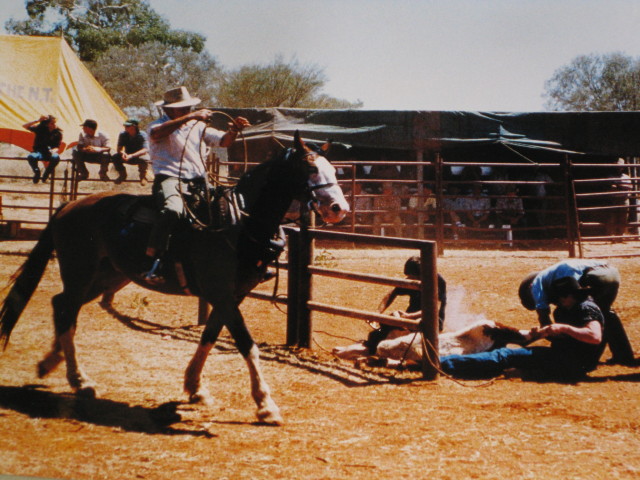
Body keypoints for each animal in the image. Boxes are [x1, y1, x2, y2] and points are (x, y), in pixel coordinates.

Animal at [1, 131, 350, 424]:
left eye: (334, 170)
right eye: (309, 169)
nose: (338, 208)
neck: (238, 222)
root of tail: (68, 206)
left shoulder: (232, 295)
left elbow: (209, 336)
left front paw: (195, 387)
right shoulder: (221, 294)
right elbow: (246, 345)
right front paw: (265, 405)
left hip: (108, 277)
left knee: (62, 305)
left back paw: (53, 363)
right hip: (79, 271)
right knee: (66, 309)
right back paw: (79, 379)